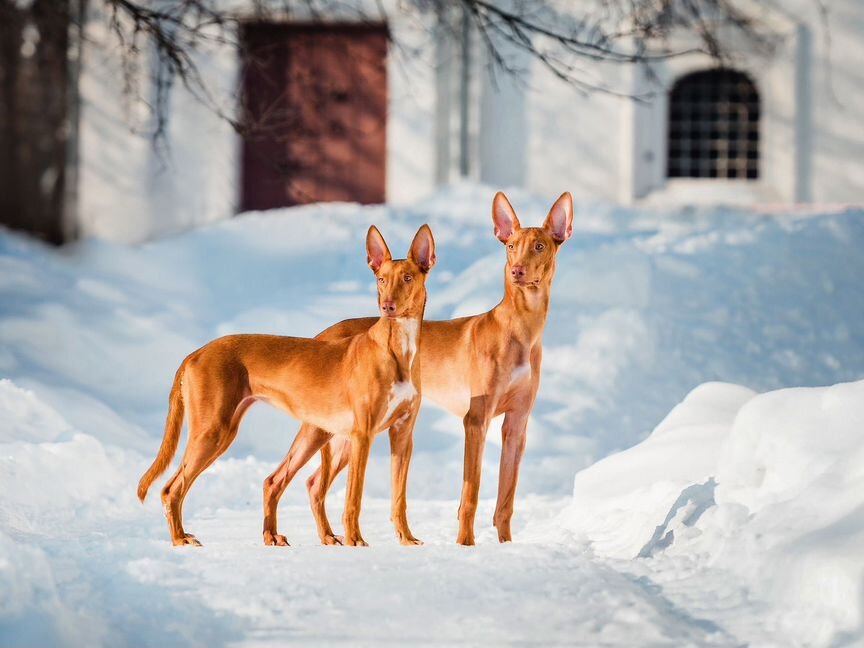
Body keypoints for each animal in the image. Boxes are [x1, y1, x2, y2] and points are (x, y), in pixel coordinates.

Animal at [138, 225, 436, 544]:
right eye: (381, 279)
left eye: (407, 278)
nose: (387, 306)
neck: (397, 349)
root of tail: (194, 354)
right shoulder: (362, 435)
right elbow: (353, 499)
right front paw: (356, 540)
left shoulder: (402, 435)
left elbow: (399, 497)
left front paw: (407, 539)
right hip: (215, 431)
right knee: (172, 489)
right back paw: (180, 539)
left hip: (312, 435)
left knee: (277, 481)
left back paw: (276, 536)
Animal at [264, 194, 572, 548]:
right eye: (510, 245)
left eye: (539, 246)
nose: (517, 271)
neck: (519, 328)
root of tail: (322, 334)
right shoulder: (475, 421)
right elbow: (471, 494)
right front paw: (465, 544)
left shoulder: (517, 425)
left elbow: (505, 499)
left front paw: (505, 546)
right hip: (328, 428)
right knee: (292, 479)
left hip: (343, 433)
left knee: (314, 482)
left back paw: (328, 537)